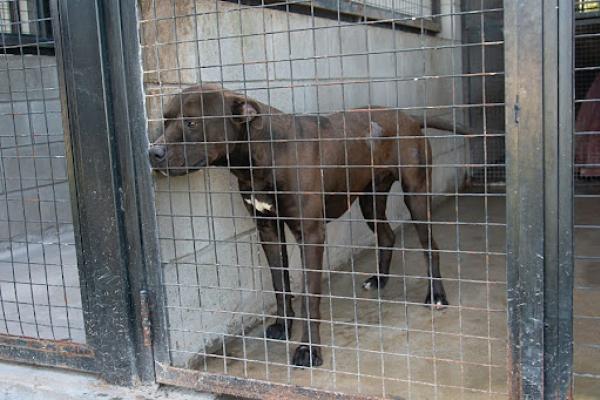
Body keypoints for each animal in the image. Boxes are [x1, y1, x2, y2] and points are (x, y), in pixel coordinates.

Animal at [149, 83, 448, 368]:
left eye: (192, 122)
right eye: (165, 120)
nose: (153, 152)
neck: (265, 152)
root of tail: (408, 117)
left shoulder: (311, 235)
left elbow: (309, 298)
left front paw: (308, 349)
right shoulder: (268, 229)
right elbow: (280, 283)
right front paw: (283, 325)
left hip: (416, 197)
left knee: (431, 245)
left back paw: (436, 295)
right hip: (370, 200)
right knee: (387, 235)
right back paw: (380, 280)